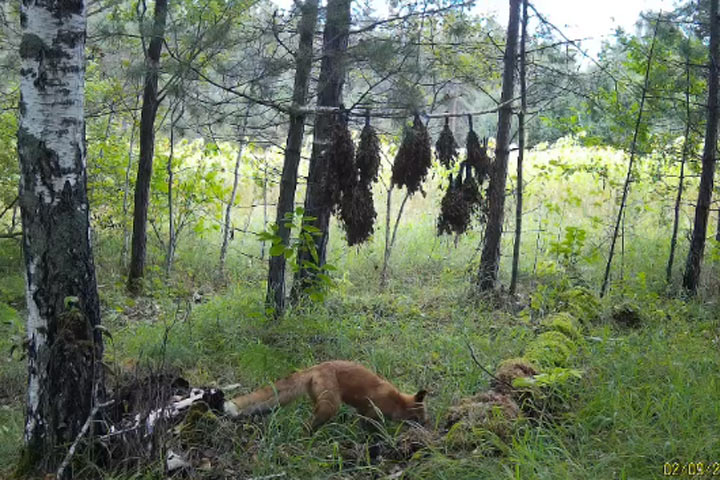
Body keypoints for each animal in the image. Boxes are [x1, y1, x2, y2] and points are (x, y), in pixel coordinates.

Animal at [225, 358, 428, 430]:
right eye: (421, 416)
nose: (428, 425)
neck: (396, 401)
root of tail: (316, 366)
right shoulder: (371, 413)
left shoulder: (363, 410)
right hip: (331, 406)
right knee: (308, 424)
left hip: (322, 402)